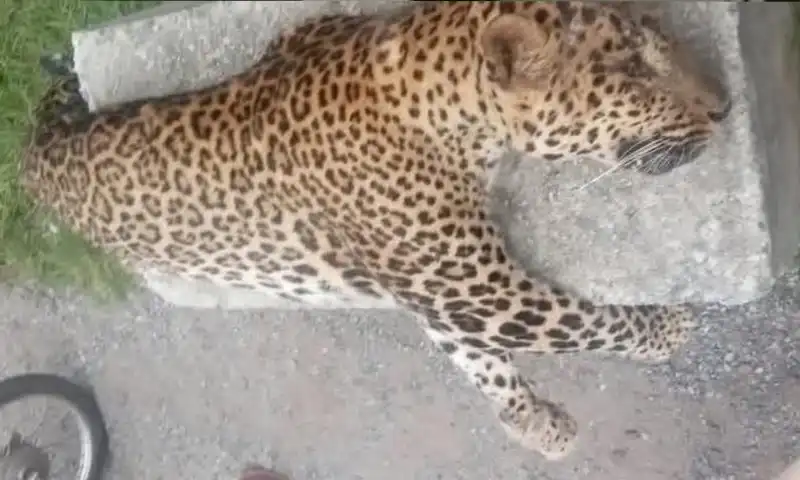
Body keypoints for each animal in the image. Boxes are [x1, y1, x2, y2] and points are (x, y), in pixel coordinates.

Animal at [20, 1, 730, 460]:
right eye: (637, 79)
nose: (726, 106)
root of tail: (36, 150)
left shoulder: (440, 291)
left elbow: (473, 355)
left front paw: (528, 420)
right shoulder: (481, 292)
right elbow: (587, 323)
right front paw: (665, 329)